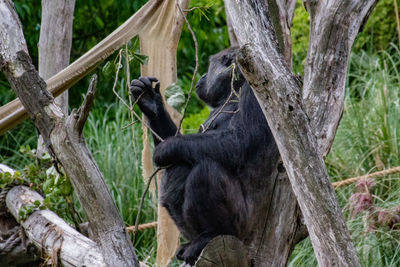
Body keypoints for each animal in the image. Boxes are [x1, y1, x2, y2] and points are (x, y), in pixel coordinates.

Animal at [130, 46, 278, 266]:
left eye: (209, 66)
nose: (202, 76)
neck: (232, 91)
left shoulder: (255, 93)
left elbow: (239, 141)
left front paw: (167, 148)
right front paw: (151, 102)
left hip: (242, 226)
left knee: (204, 172)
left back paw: (211, 234)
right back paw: (194, 242)